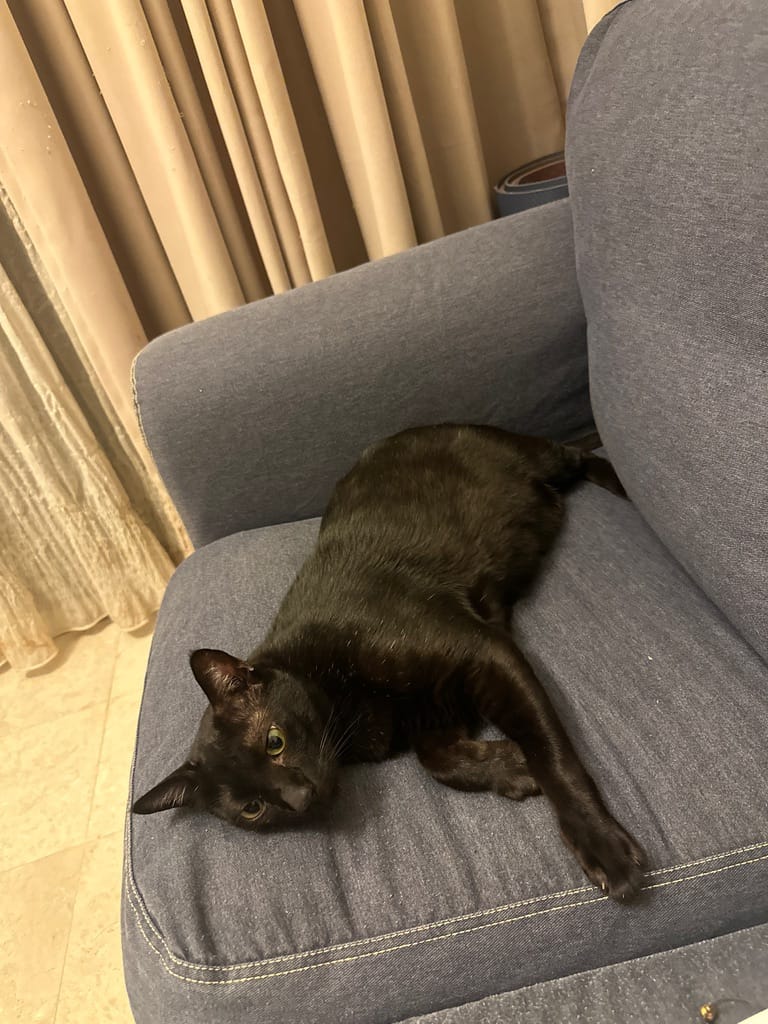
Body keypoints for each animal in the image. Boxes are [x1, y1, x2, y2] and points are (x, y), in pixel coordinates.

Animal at [133, 425, 646, 900]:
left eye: (274, 741)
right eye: (252, 809)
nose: (300, 799)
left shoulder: (488, 652)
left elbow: (552, 754)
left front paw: (598, 841)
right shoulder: (443, 708)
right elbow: (437, 759)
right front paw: (513, 765)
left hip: (540, 457)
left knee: (579, 452)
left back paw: (622, 486)